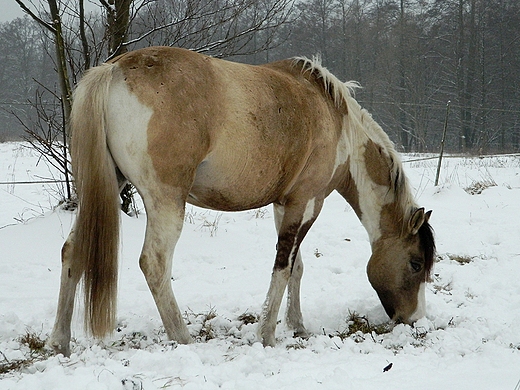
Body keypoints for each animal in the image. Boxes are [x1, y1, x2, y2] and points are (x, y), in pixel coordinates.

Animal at [47, 46, 434, 356]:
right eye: (415, 263)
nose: (413, 319)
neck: (336, 122)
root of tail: (114, 69)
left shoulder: (285, 205)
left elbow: (297, 268)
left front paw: (297, 326)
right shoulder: (306, 203)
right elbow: (283, 267)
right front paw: (267, 335)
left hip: (106, 189)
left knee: (72, 251)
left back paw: (60, 341)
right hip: (167, 202)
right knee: (154, 264)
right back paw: (183, 339)